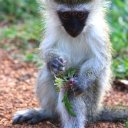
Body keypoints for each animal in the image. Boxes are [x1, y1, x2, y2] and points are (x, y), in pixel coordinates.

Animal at [12, 0, 128, 128]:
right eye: (66, 15)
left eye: (80, 15)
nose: (73, 28)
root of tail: (95, 112)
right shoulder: (53, 29)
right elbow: (46, 49)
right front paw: (53, 61)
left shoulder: (97, 33)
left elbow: (100, 60)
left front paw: (82, 81)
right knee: (48, 72)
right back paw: (46, 113)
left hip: (90, 102)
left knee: (69, 90)